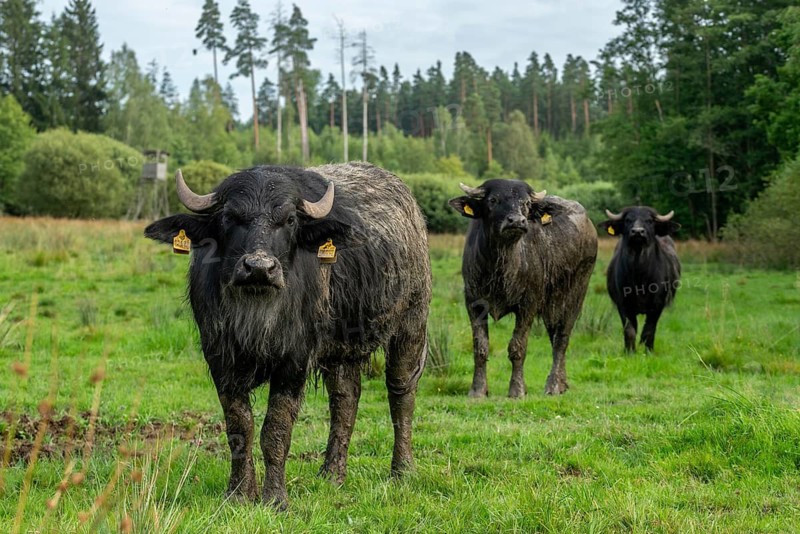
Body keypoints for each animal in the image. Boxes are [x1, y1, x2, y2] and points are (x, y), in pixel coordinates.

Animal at [145, 163, 431, 509]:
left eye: (290, 220)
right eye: (229, 217)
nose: (259, 267)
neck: (257, 311)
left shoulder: (294, 361)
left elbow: (275, 429)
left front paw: (274, 498)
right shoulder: (219, 359)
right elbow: (239, 426)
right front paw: (239, 493)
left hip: (412, 320)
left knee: (401, 391)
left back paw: (402, 470)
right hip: (341, 347)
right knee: (345, 399)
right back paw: (331, 474)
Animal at [449, 179, 597, 396]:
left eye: (526, 203)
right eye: (493, 200)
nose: (517, 221)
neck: (500, 267)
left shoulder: (528, 305)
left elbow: (517, 347)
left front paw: (517, 389)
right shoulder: (473, 303)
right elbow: (480, 347)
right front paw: (477, 390)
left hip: (576, 294)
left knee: (562, 338)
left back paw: (553, 385)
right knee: (554, 336)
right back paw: (562, 384)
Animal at [599, 207, 681, 352]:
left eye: (649, 220)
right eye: (628, 220)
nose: (637, 232)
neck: (640, 278)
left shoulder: (657, 305)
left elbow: (649, 330)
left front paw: (648, 351)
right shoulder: (623, 304)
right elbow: (629, 330)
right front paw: (629, 351)